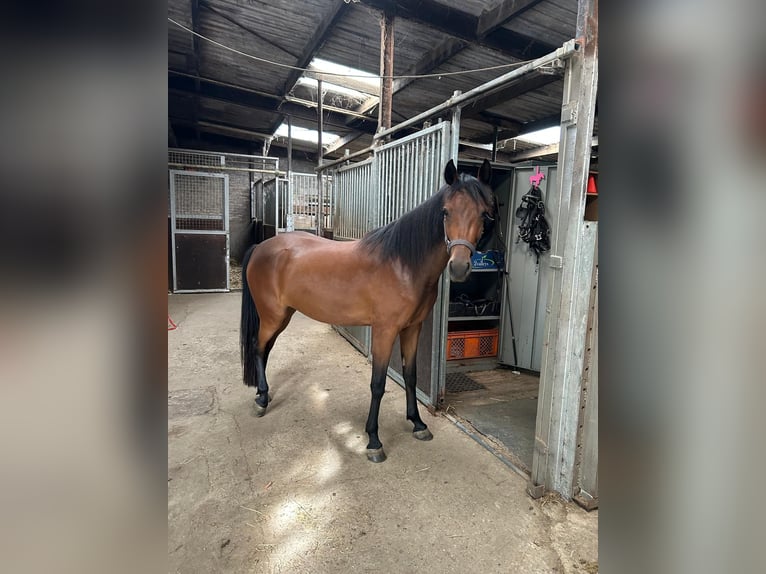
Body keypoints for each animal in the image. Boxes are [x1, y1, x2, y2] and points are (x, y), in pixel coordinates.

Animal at [240, 159, 496, 463]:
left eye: (484, 214)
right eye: (445, 212)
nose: (459, 267)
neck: (402, 265)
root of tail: (260, 248)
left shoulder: (412, 328)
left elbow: (411, 376)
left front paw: (418, 424)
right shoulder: (385, 331)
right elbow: (378, 384)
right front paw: (373, 440)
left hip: (283, 316)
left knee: (264, 349)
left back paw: (261, 394)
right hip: (272, 316)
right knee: (258, 347)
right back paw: (262, 400)